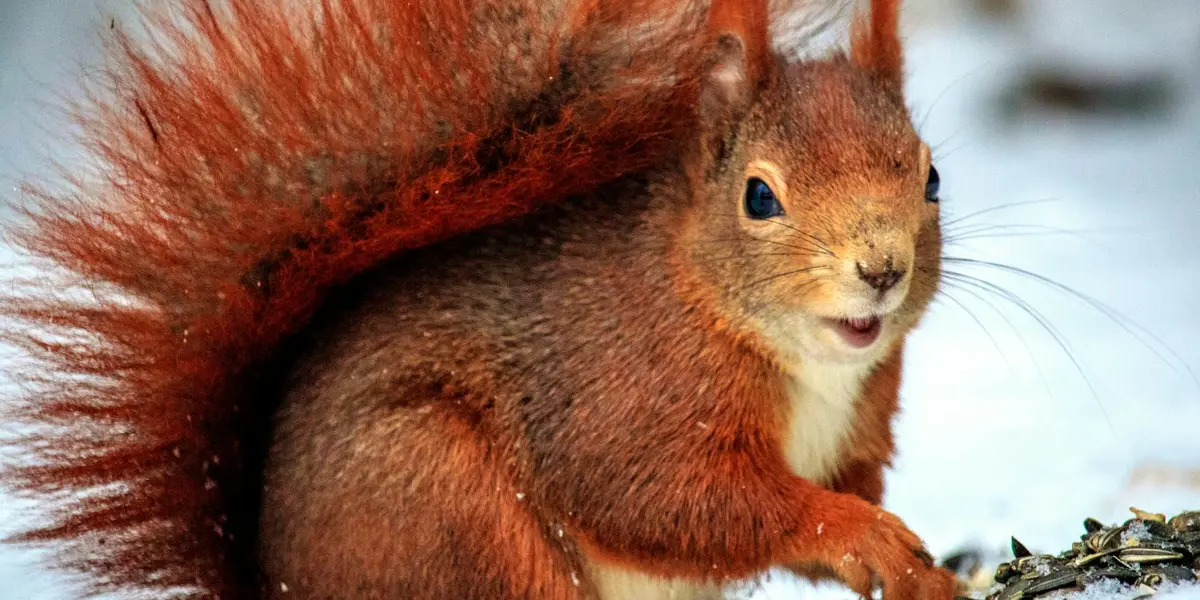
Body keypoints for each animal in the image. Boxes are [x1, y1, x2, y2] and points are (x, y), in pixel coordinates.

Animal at [0, 0, 957, 599]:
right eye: (759, 197)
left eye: (932, 176)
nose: (882, 269)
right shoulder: (621, 397)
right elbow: (669, 500)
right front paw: (859, 533)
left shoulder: (858, 426)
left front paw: (921, 568)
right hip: (448, 511)